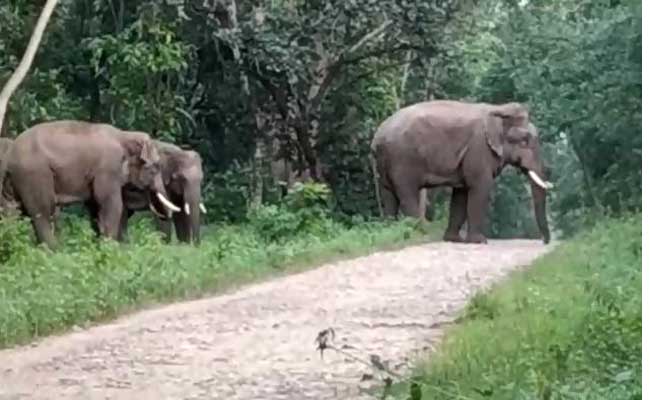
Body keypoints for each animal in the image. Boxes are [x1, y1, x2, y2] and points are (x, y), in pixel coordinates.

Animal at [0, 120, 180, 248]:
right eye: (156, 167)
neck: (124, 135)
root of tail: (10, 155)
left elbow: (95, 207)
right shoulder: (108, 169)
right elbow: (111, 205)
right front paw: (109, 249)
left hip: (13, 180)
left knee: (11, 210)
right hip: (34, 174)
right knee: (43, 211)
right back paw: (53, 251)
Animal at [370, 100, 552, 244]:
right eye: (525, 141)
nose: (544, 241)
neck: (498, 109)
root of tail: (377, 136)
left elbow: (461, 193)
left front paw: (454, 240)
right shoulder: (479, 149)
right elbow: (480, 187)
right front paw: (479, 241)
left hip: (385, 164)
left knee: (389, 196)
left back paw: (394, 233)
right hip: (403, 160)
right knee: (407, 194)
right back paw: (420, 234)